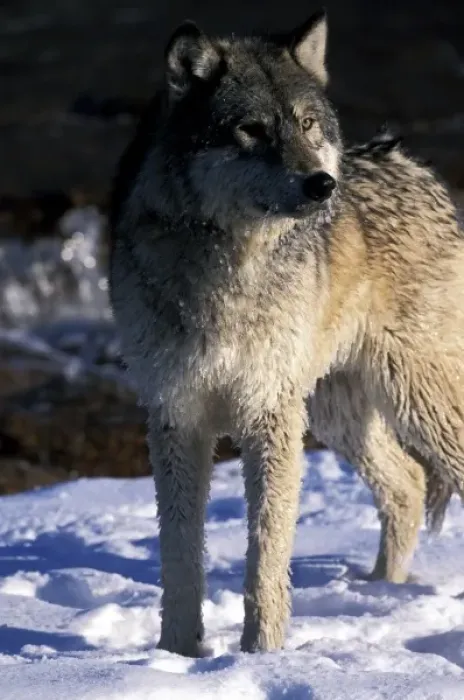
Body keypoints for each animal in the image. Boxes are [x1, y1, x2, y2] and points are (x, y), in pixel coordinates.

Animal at [109, 10, 464, 656]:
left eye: (306, 124)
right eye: (251, 130)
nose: (323, 185)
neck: (229, 267)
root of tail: (405, 161)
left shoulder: (268, 413)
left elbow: (266, 553)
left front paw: (263, 655)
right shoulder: (177, 416)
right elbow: (179, 558)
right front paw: (178, 655)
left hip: (414, 400)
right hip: (335, 414)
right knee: (407, 483)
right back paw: (380, 591)